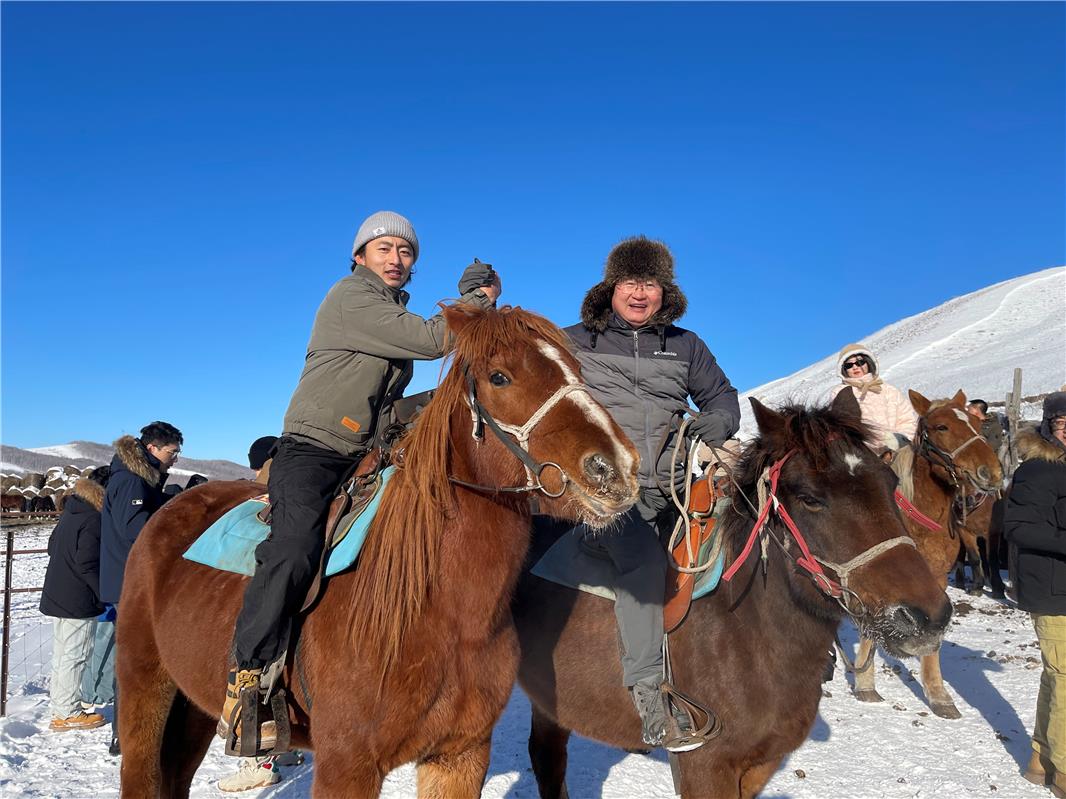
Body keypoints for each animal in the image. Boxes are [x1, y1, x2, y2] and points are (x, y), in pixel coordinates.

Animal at [115, 302, 635, 796]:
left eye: (578, 369)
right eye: (500, 376)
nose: (617, 468)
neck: (443, 610)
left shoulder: (460, 756)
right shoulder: (347, 766)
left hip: (193, 701)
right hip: (144, 688)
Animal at [513, 392, 950, 796]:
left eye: (890, 483)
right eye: (809, 497)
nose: (926, 616)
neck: (747, 629)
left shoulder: (760, 763)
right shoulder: (703, 765)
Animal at [852, 387, 1002, 720]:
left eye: (976, 423)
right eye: (941, 427)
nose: (993, 473)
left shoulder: (936, 582)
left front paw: (939, 695)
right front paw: (864, 682)